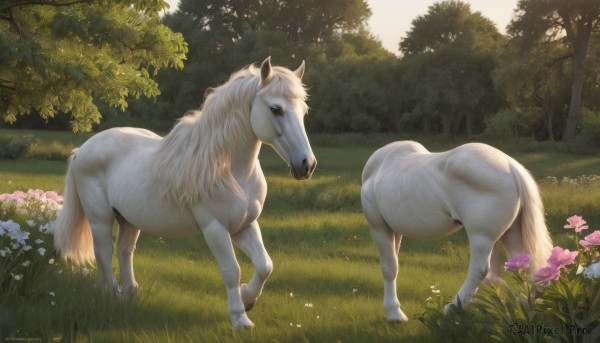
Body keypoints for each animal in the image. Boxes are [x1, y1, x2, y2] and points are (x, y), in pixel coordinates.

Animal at [52, 57, 316, 330]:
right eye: (276, 109)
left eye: (303, 111)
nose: (306, 165)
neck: (229, 169)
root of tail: (82, 149)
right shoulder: (215, 228)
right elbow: (231, 270)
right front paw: (240, 317)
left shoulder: (244, 226)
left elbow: (265, 266)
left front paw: (247, 298)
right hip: (100, 220)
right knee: (103, 252)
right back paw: (112, 295)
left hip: (129, 220)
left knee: (124, 250)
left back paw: (132, 294)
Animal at [360, 140, 552, 322]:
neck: (381, 166)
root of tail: (511, 167)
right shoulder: (395, 231)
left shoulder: (379, 227)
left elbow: (389, 267)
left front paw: (394, 313)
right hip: (510, 233)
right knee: (522, 265)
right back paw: (523, 305)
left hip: (481, 237)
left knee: (479, 271)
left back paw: (453, 308)